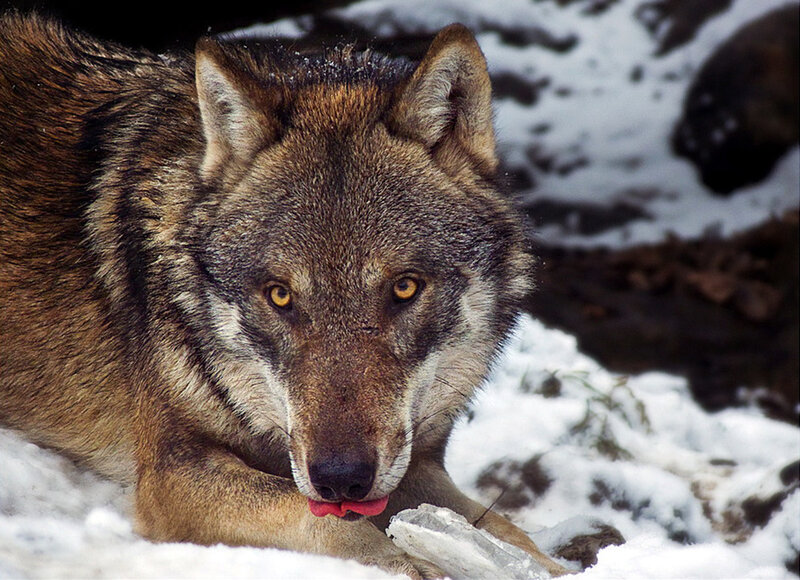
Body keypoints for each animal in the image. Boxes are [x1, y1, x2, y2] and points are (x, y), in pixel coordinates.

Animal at [0, 12, 566, 577]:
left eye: (404, 287)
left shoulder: (414, 465)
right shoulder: (172, 474)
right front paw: (412, 562)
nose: (340, 478)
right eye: (279, 296)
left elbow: (503, 529)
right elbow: (329, 524)